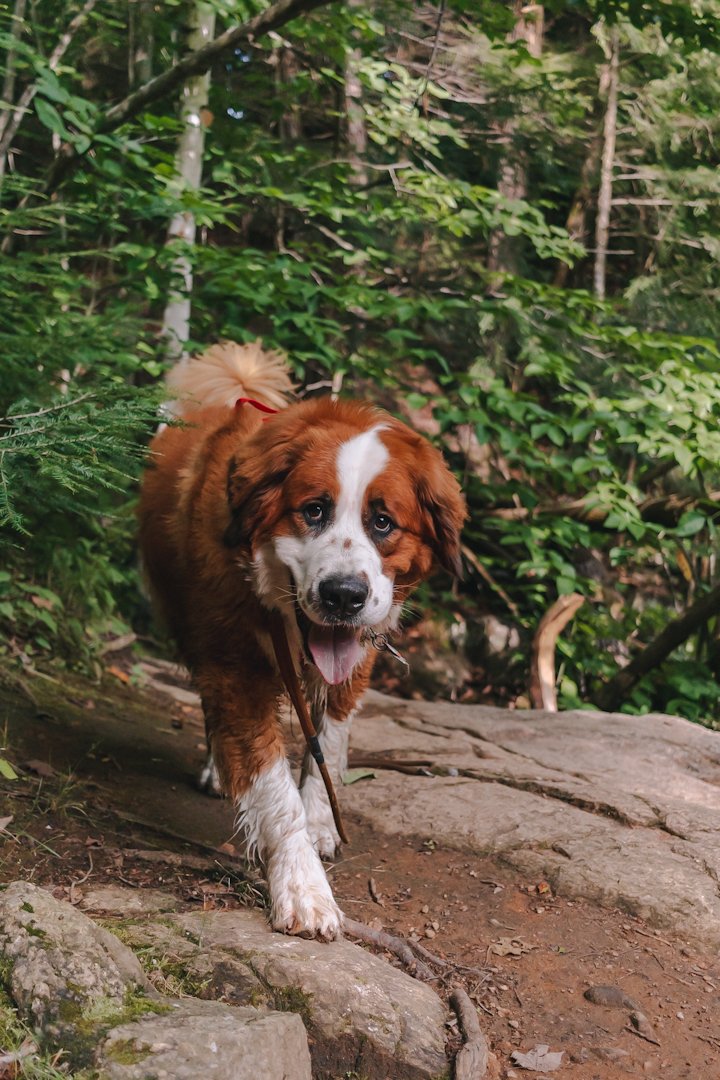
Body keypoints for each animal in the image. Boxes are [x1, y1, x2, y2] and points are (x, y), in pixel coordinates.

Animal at [139, 343, 468, 937]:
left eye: (382, 523)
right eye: (314, 510)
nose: (343, 596)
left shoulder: (354, 662)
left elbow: (327, 742)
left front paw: (319, 822)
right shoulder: (235, 667)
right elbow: (273, 786)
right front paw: (302, 885)